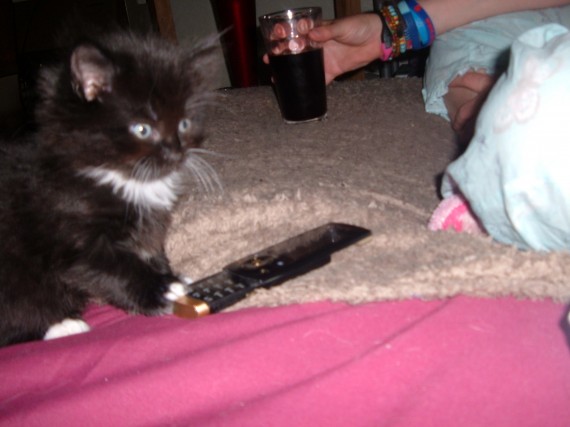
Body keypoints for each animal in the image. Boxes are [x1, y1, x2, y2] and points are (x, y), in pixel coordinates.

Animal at [0, 30, 220, 346]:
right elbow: (112, 265)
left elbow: (150, 249)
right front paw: (162, 289)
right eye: (142, 129)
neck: (118, 177)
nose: (175, 152)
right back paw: (61, 325)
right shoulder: (68, 234)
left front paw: (168, 274)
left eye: (184, 124)